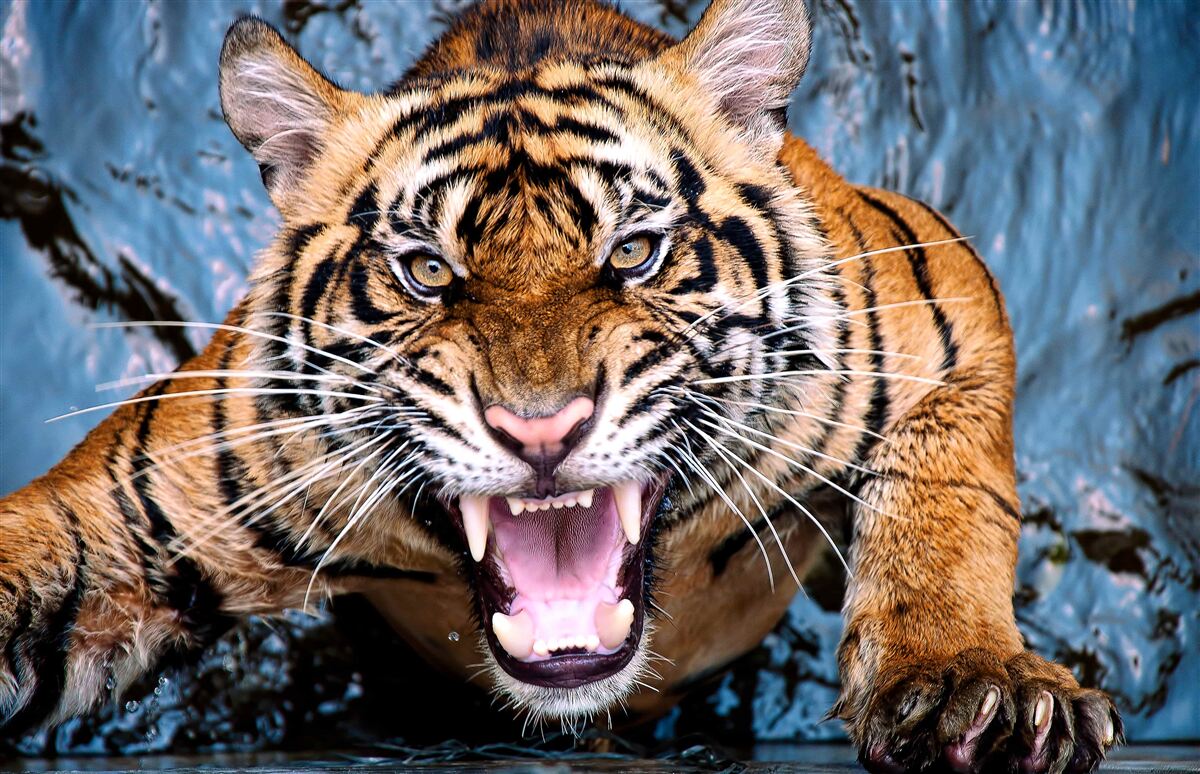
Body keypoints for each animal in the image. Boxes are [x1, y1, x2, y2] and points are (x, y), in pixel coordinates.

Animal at [0, 0, 1122, 770]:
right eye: (427, 271)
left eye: (631, 252)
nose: (540, 431)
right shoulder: (135, 511)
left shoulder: (942, 302)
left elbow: (946, 501)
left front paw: (971, 685)